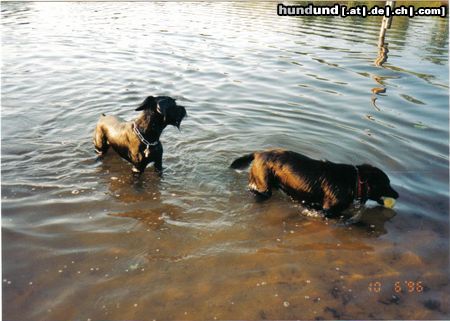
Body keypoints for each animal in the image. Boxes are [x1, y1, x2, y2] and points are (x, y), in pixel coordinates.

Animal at [230, 149, 400, 215]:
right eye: (386, 183)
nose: (398, 195)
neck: (354, 182)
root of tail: (258, 153)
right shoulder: (329, 210)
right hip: (264, 187)